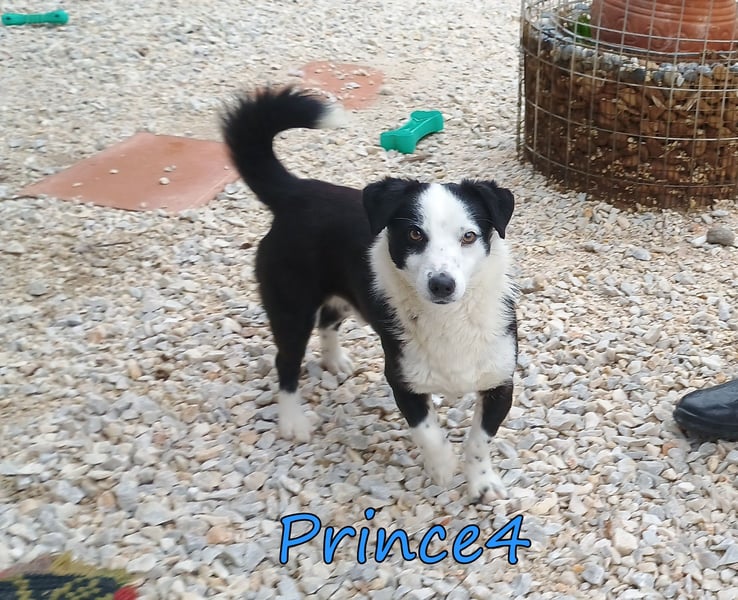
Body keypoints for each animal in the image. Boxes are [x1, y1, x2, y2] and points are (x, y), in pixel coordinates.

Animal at [221, 87, 518, 501]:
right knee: (286, 362)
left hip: (342, 294)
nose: (442, 284)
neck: (450, 319)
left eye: (469, 236)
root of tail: (299, 191)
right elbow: (427, 432)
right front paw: (443, 466)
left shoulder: (500, 380)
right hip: (290, 307)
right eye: (414, 234)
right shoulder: (402, 379)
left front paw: (482, 481)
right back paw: (293, 420)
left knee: (329, 322)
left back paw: (336, 361)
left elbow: (479, 439)